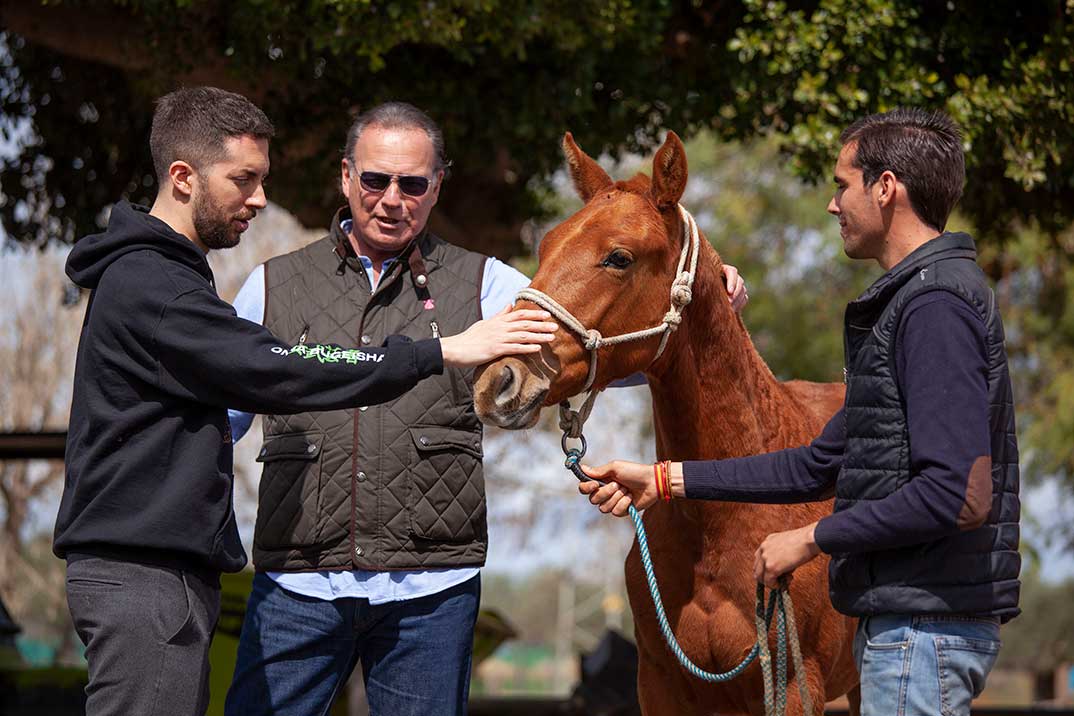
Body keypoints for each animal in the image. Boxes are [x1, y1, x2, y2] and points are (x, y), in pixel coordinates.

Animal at [474, 131, 859, 712]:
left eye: (618, 257)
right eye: (544, 247)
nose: (497, 381)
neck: (722, 520)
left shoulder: (795, 686)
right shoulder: (660, 683)